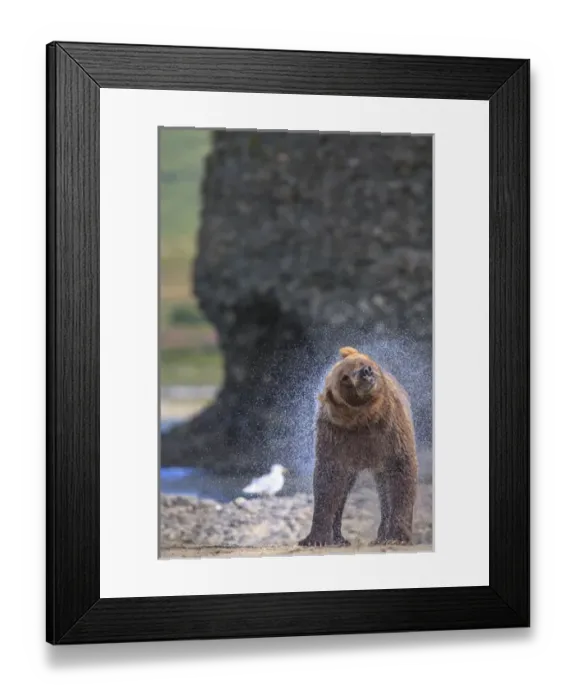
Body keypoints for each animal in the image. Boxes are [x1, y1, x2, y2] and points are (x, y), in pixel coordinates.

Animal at [298, 346, 419, 548]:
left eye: (361, 362)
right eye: (345, 378)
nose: (366, 372)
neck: (366, 418)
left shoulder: (391, 431)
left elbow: (401, 472)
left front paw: (398, 535)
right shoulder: (336, 437)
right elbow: (328, 482)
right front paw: (315, 538)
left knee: (384, 489)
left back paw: (381, 536)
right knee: (343, 492)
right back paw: (339, 538)